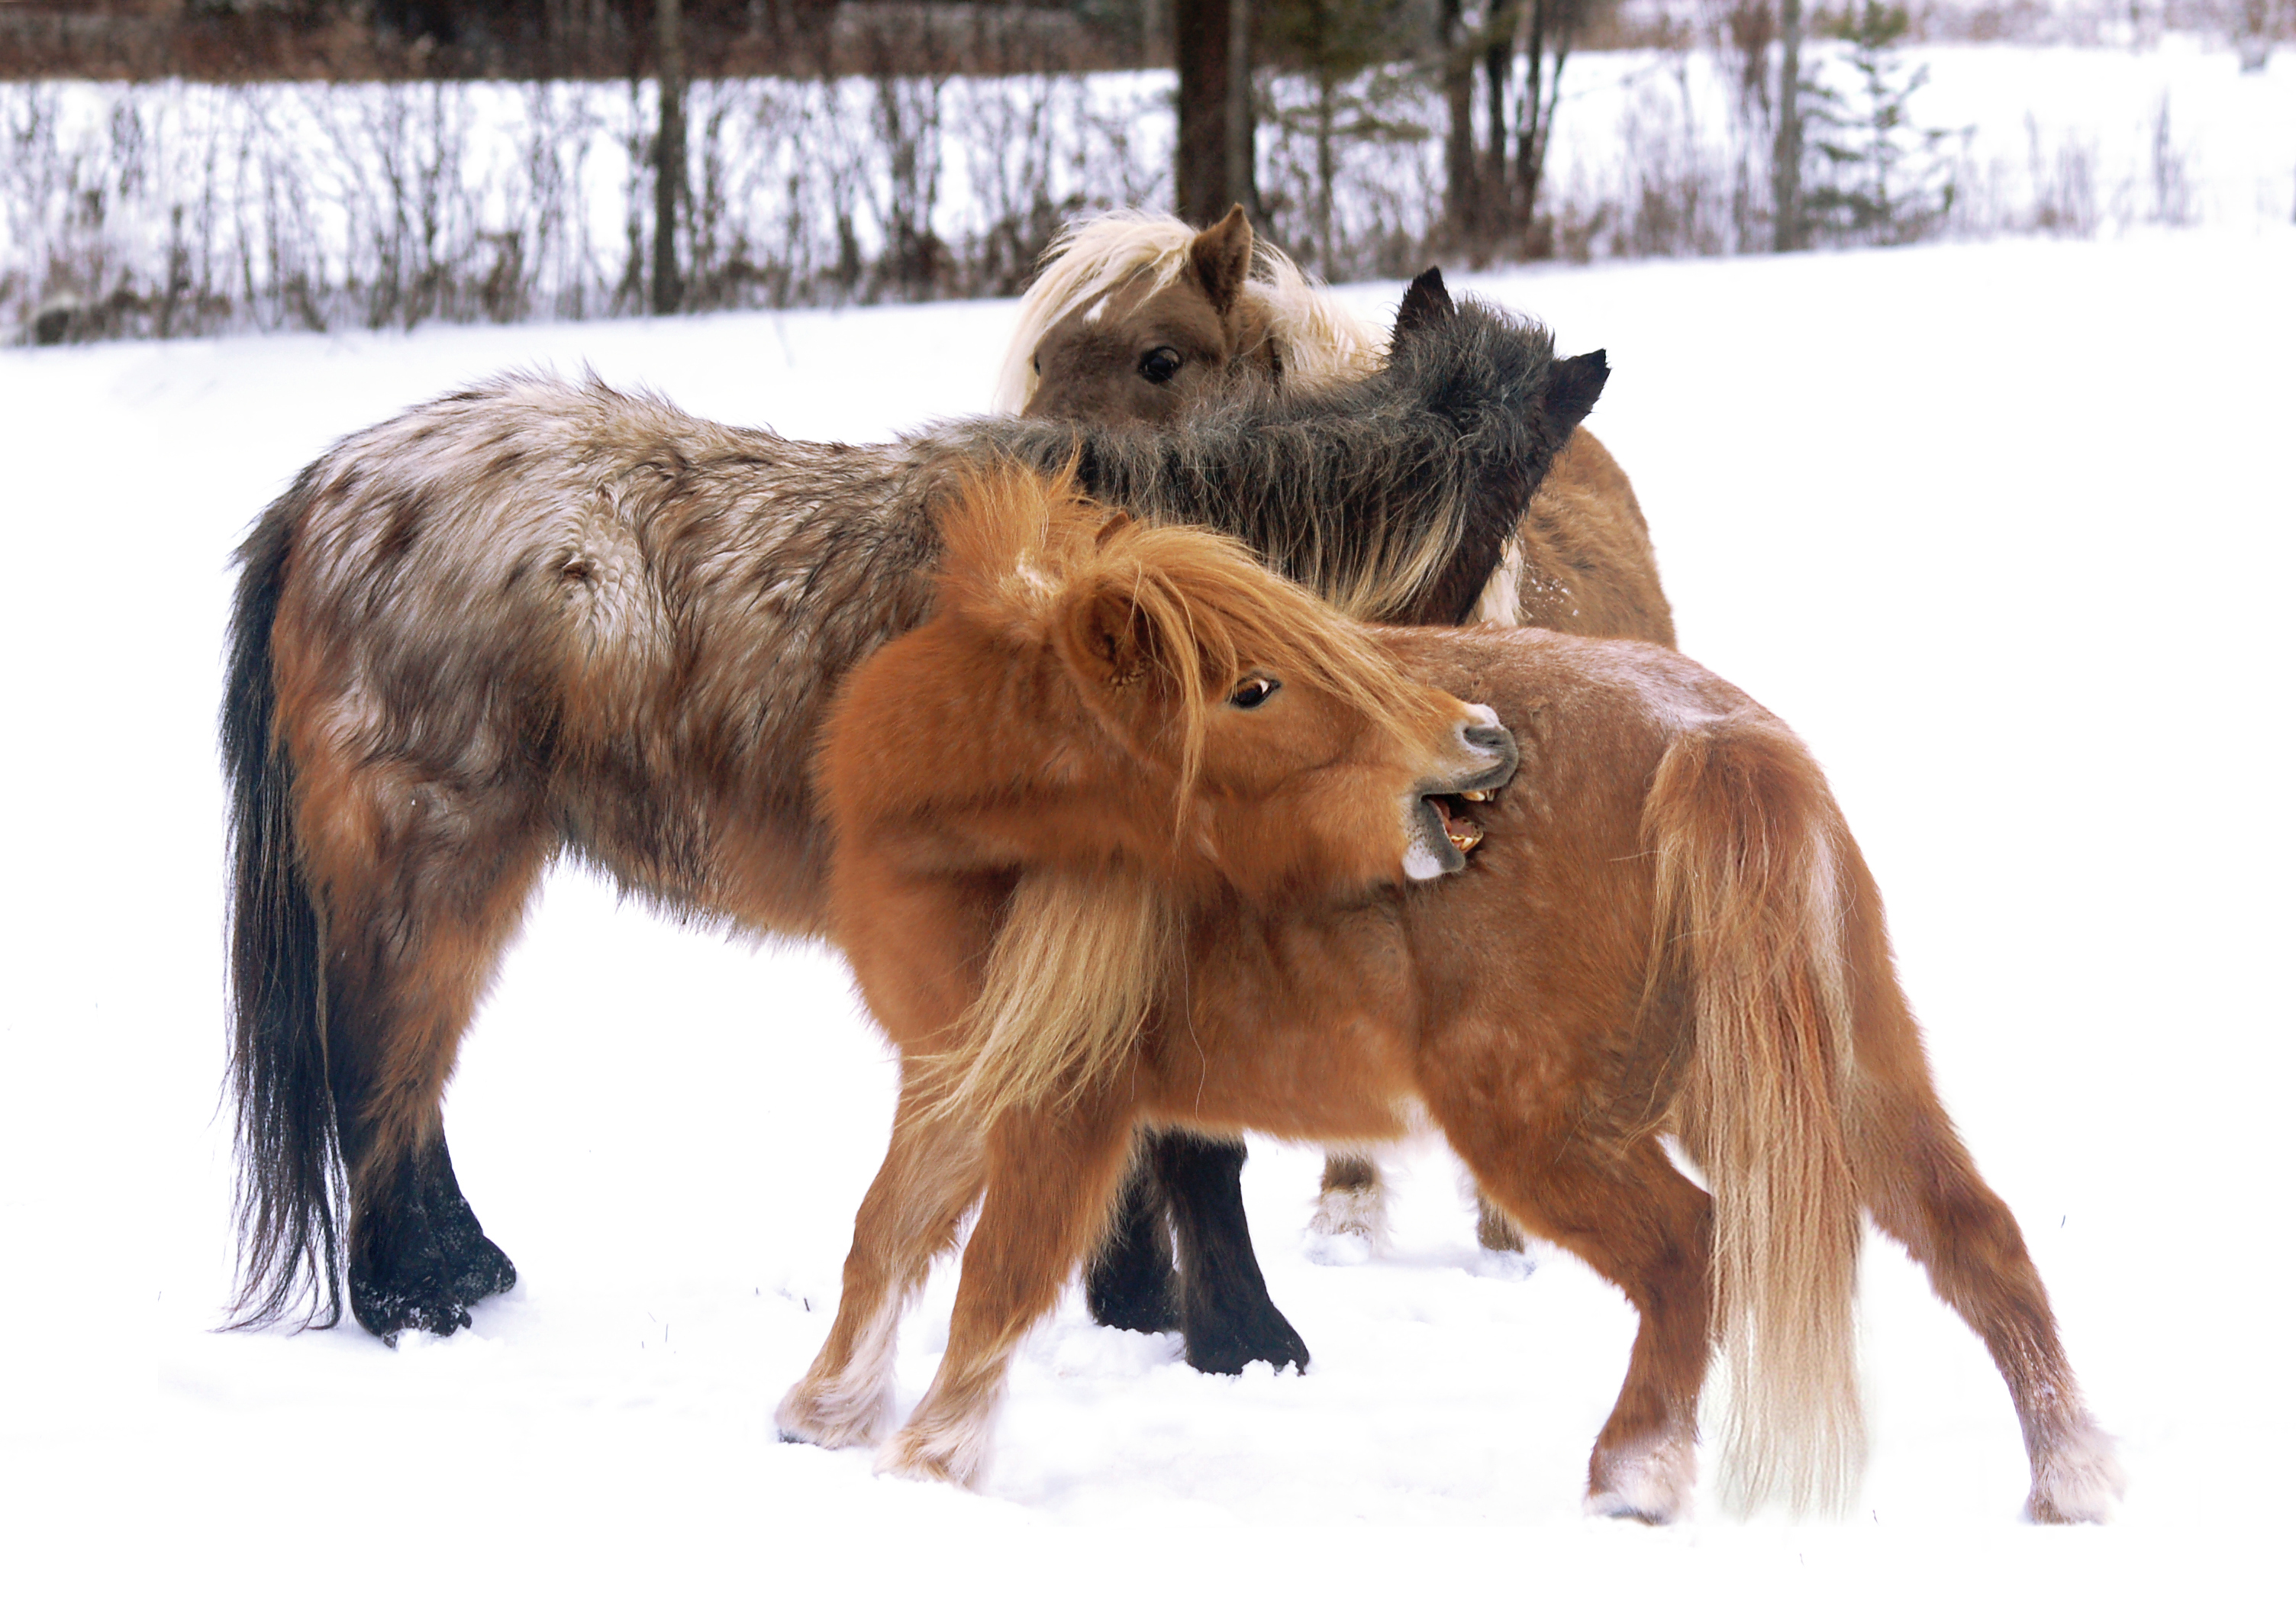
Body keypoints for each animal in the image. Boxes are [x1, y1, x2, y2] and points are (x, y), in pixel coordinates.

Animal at [222, 280, 1609, 1342]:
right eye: (1516, 508)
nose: (1491, 745)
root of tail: (331, 488)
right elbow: (1190, 1147)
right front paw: (1239, 1337)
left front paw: (1134, 1306)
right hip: (438, 857)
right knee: (384, 1067)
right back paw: (416, 1301)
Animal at [782, 464, 2123, 1524]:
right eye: (1255, 687)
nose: (1482, 748)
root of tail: (1715, 738)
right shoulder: (954, 1077)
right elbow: (885, 1233)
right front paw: (824, 1412)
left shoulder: (1066, 1104)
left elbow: (995, 1274)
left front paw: (928, 1467)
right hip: (1843, 1077)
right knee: (1975, 1237)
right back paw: (2071, 1481)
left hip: (1539, 1124)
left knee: (1689, 1252)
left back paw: (1634, 1477)